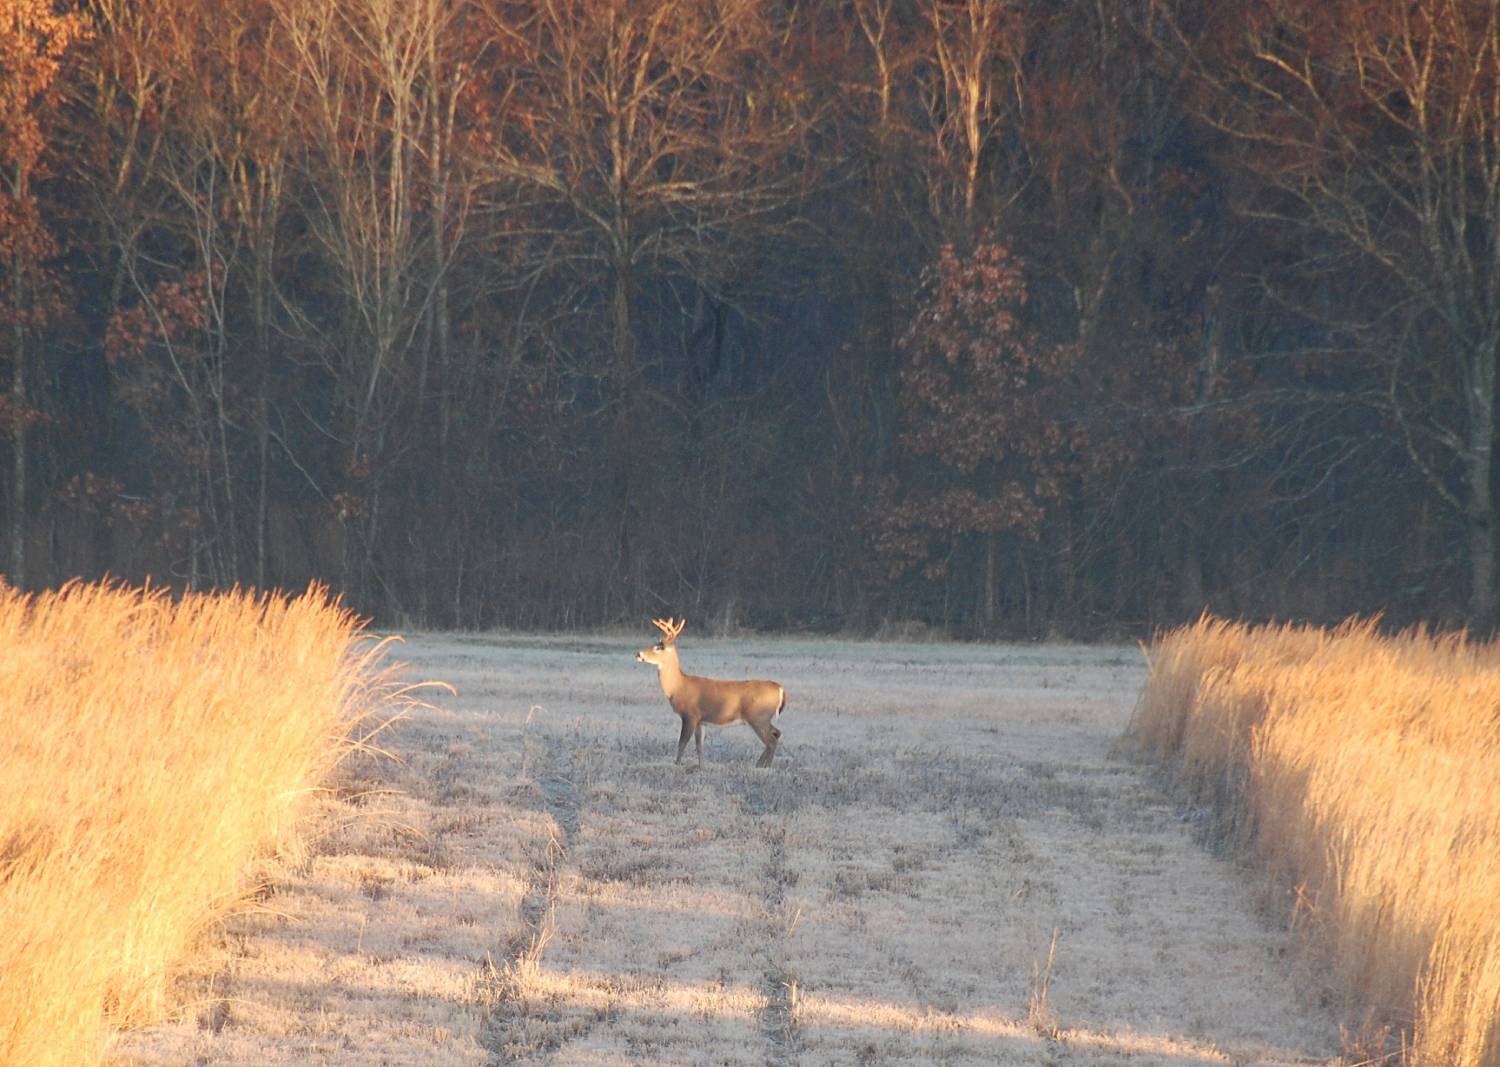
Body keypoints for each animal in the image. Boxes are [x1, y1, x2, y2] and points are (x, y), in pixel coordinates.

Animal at [633, 618, 786, 768]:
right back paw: (760, 764)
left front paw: (677, 764)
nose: (638, 654)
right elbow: (699, 745)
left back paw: (764, 766)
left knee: (771, 740)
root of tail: (779, 688)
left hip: (758, 717)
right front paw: (701, 766)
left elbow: (682, 743)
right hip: (763, 718)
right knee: (777, 733)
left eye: (659, 647)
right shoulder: (701, 721)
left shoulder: (690, 715)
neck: (678, 686)